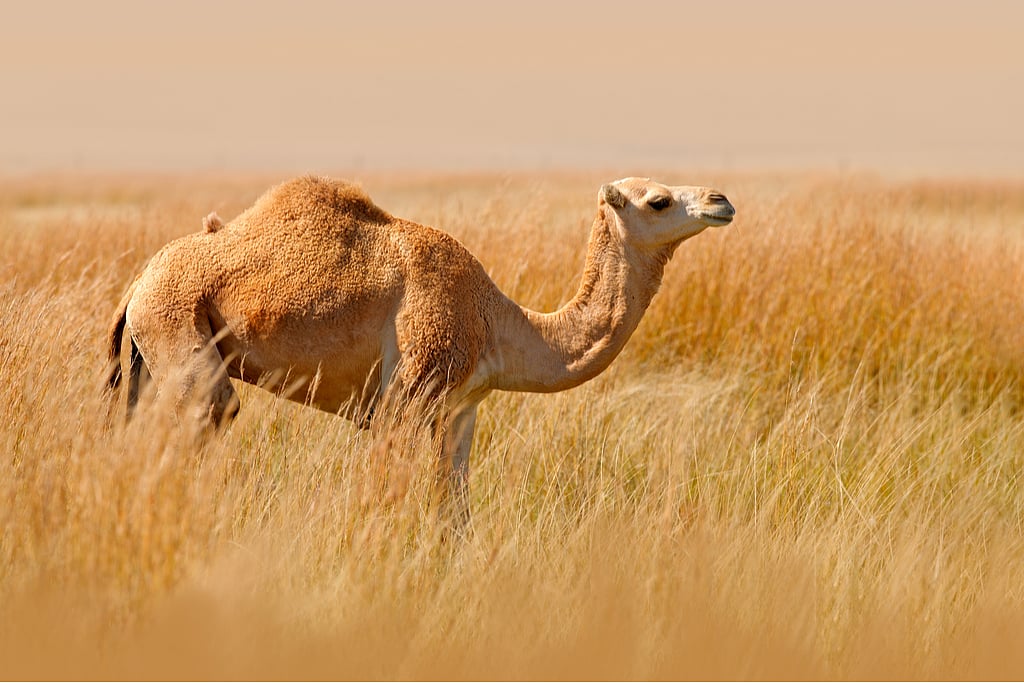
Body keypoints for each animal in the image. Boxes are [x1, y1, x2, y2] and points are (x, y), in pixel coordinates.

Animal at [104, 176, 734, 523]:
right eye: (657, 201)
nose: (721, 200)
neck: (498, 322)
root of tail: (137, 285)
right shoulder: (407, 397)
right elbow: (388, 496)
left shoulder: (462, 410)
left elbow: (455, 509)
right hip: (179, 334)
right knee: (205, 418)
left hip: (144, 360)